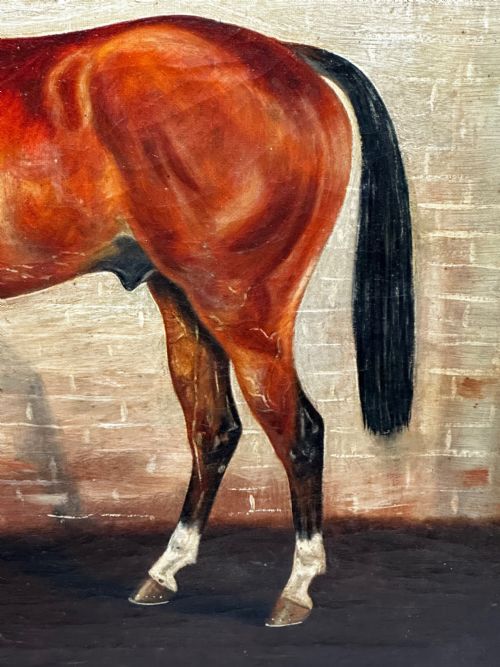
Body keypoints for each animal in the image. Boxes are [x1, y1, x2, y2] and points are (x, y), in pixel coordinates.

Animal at [0, 15, 414, 626]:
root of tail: (288, 55)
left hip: (244, 311)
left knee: (299, 431)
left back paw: (296, 589)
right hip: (186, 301)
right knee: (214, 428)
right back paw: (164, 572)